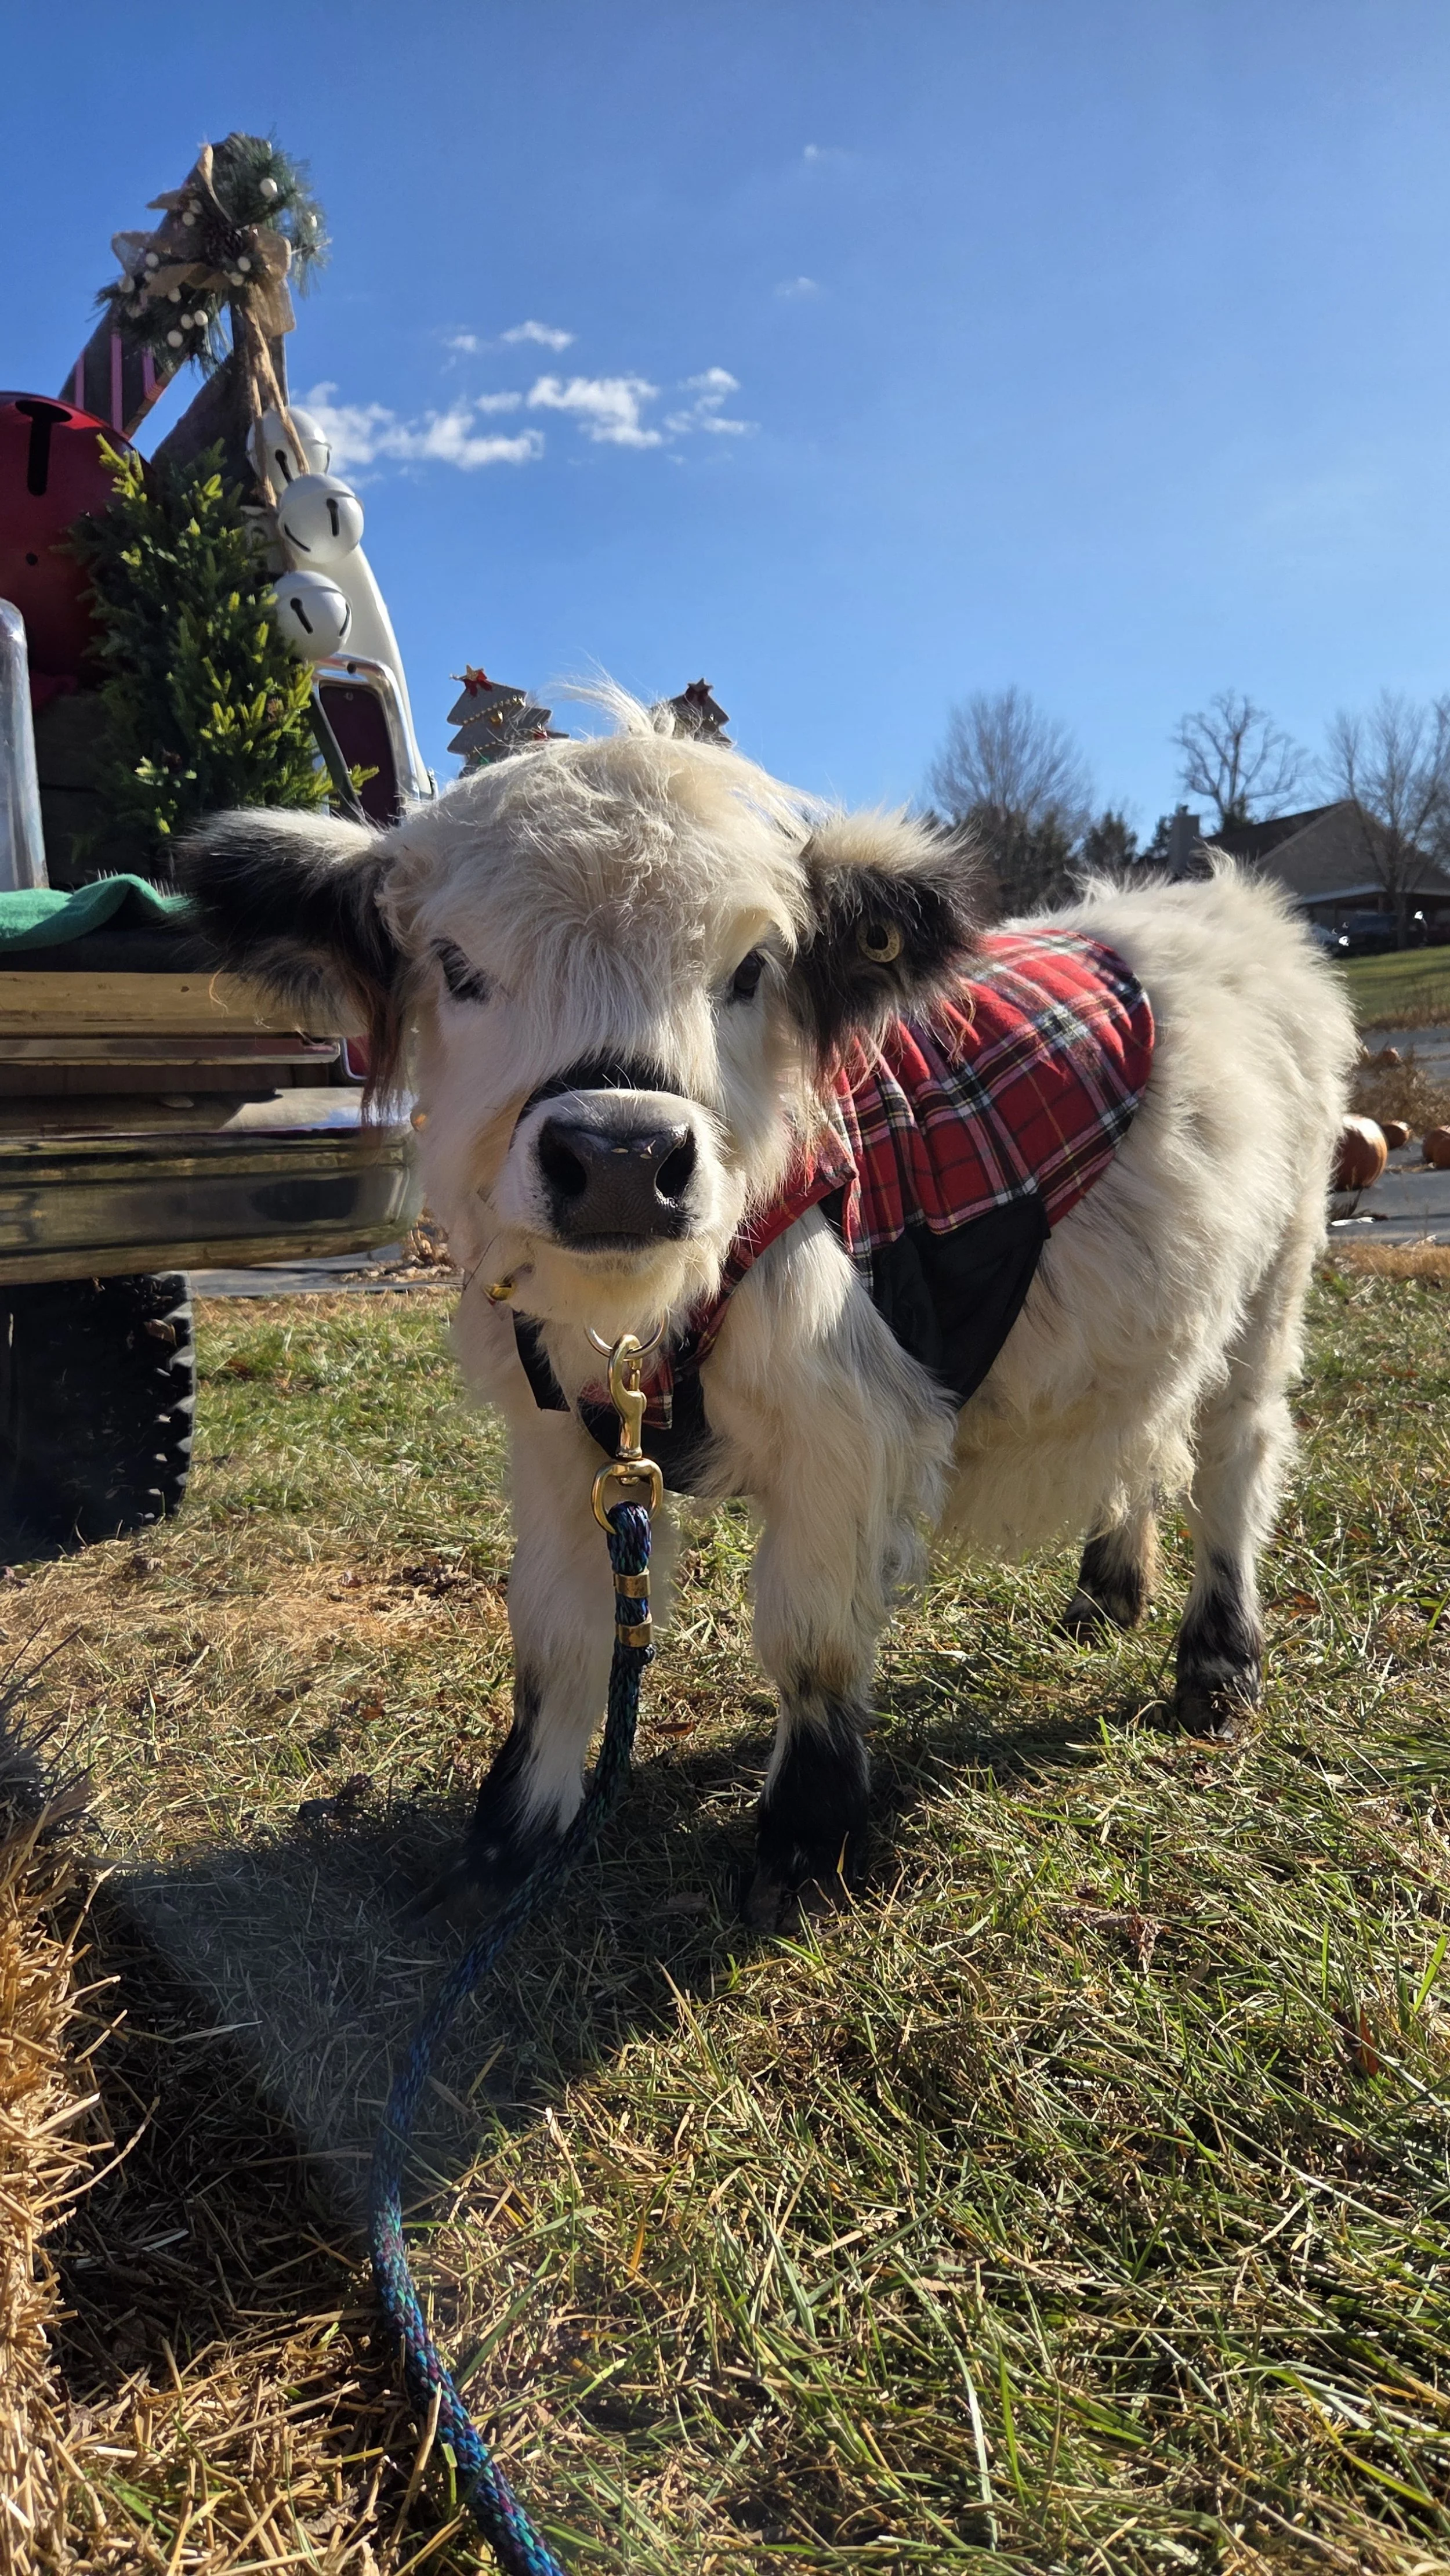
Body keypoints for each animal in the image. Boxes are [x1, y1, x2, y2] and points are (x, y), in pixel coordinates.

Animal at [179, 695, 1356, 1929]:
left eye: (751, 968)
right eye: (456, 966)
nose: (620, 1160)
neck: (644, 1321)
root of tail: (1217, 902)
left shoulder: (844, 1434)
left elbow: (811, 1641)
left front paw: (805, 1838)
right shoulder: (558, 1443)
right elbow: (556, 1636)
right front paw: (506, 1841)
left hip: (1274, 1282)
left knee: (1235, 1455)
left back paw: (1217, 1665)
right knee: (1142, 1434)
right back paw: (1108, 1590)